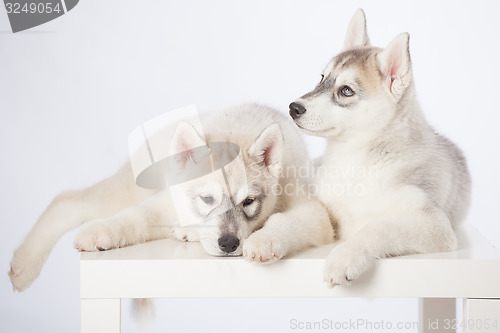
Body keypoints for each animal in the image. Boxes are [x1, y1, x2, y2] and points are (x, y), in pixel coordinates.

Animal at [7, 104, 334, 290]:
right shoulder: (165, 201)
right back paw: (24, 266)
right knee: (66, 200)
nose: (229, 244)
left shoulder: (312, 211)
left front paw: (264, 240)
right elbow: (135, 218)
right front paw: (101, 231)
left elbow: (286, 222)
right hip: (131, 190)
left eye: (248, 202)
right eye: (207, 199)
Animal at [288, 10, 470, 286]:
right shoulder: (327, 211)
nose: (293, 108)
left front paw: (344, 257)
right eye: (321, 78)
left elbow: (377, 227)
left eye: (346, 91)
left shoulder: (434, 224)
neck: (356, 164)